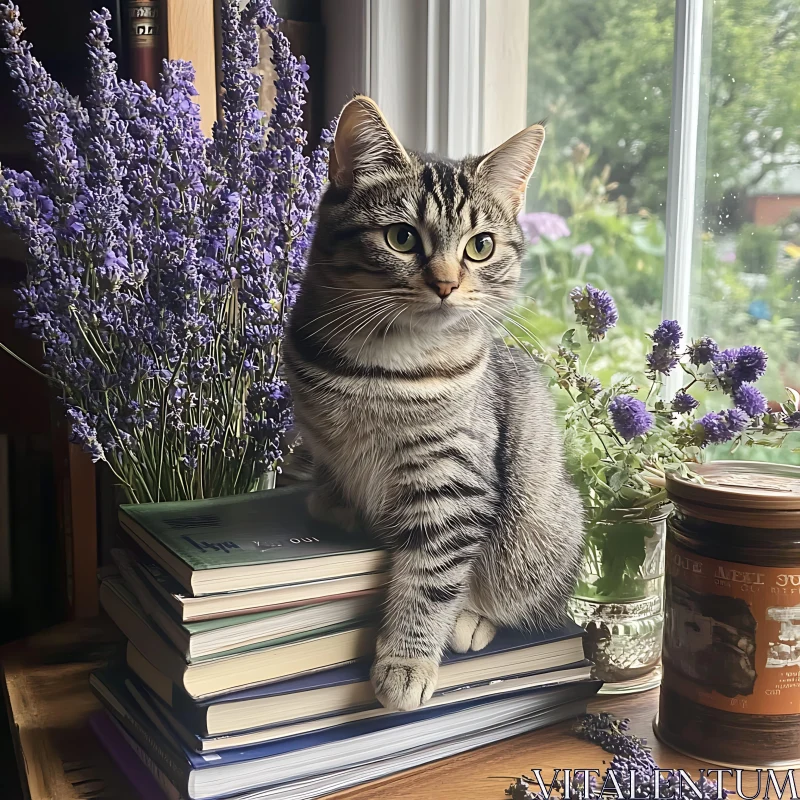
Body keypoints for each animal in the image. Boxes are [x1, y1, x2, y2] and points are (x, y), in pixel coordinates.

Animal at [284, 95, 584, 712]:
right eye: (401, 238)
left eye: (480, 246)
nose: (446, 283)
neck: (378, 368)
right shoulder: (323, 441)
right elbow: (331, 480)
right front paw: (336, 504)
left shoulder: (453, 480)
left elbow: (429, 579)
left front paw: (405, 662)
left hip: (539, 532)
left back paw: (473, 619)